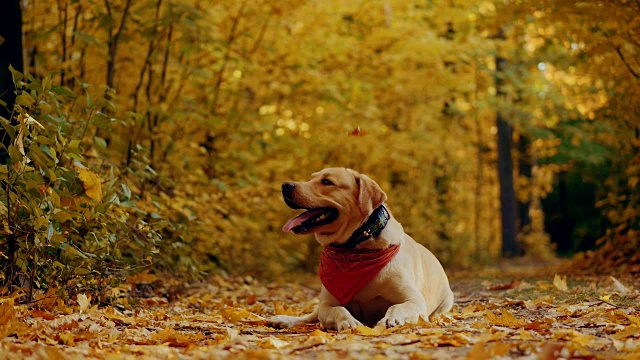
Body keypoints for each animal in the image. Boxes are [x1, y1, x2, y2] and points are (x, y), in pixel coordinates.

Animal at [266, 167, 456, 330]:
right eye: (311, 178)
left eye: (327, 182)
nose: (285, 185)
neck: (356, 248)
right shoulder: (328, 303)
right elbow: (338, 310)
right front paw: (348, 321)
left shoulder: (414, 300)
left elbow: (397, 307)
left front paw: (392, 318)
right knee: (311, 316)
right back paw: (284, 320)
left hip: (447, 301)